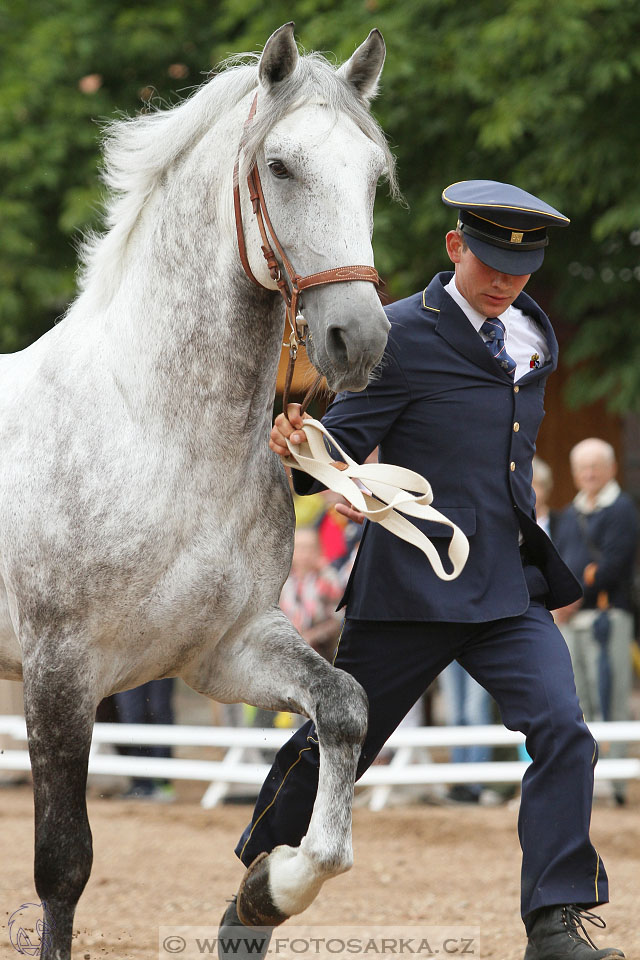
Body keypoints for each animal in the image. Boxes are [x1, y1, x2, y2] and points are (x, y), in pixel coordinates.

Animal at [0, 22, 396, 960]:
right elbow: (61, 868)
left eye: (374, 173)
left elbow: (345, 712)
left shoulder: (227, 651)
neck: (158, 432)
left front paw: (268, 890)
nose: (358, 339)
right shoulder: (60, 674)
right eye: (280, 166)